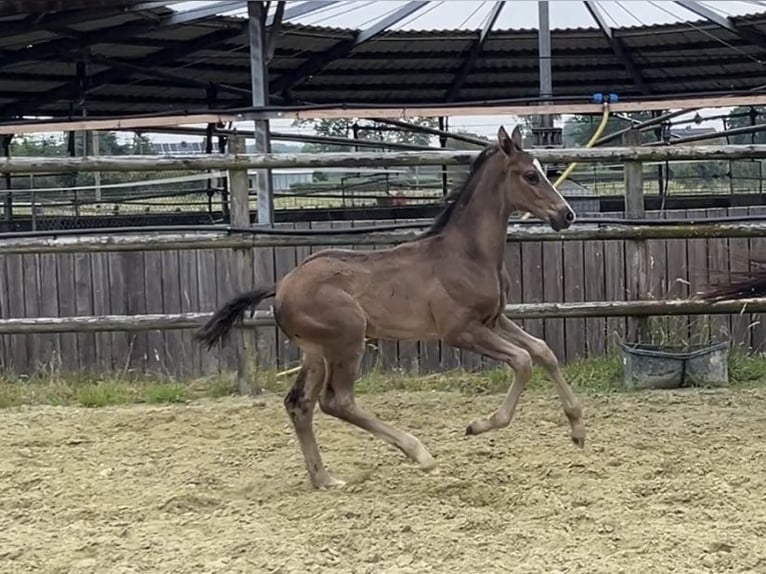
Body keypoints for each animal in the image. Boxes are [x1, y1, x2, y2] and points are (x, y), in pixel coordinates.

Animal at [196, 125, 585, 489]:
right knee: (337, 402)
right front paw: (479, 425)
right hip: (347, 341)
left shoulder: (494, 319)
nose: (567, 215)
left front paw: (578, 428)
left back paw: (325, 479)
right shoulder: (460, 331)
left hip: (316, 352)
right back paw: (420, 454)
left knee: (299, 404)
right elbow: (522, 361)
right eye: (531, 175)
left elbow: (543, 351)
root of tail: (281, 286)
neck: (467, 254)